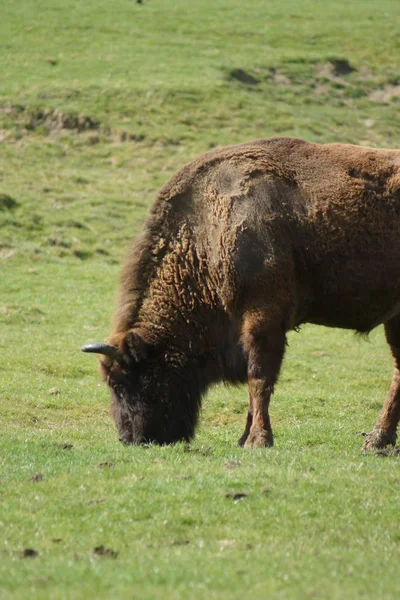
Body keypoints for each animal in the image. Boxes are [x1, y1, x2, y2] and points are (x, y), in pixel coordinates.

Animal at [83, 138, 400, 448]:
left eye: (120, 382)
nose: (129, 439)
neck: (206, 230)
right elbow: (255, 379)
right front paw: (244, 437)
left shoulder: (262, 316)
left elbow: (259, 378)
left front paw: (258, 440)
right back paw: (378, 442)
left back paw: (375, 440)